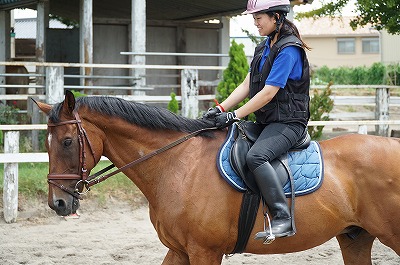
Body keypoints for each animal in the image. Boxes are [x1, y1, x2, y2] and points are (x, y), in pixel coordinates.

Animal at [34, 89, 400, 262]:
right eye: (48, 143)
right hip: (355, 238)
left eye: (67, 142)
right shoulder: (180, 251)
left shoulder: (204, 251)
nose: (58, 203)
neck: (177, 163)